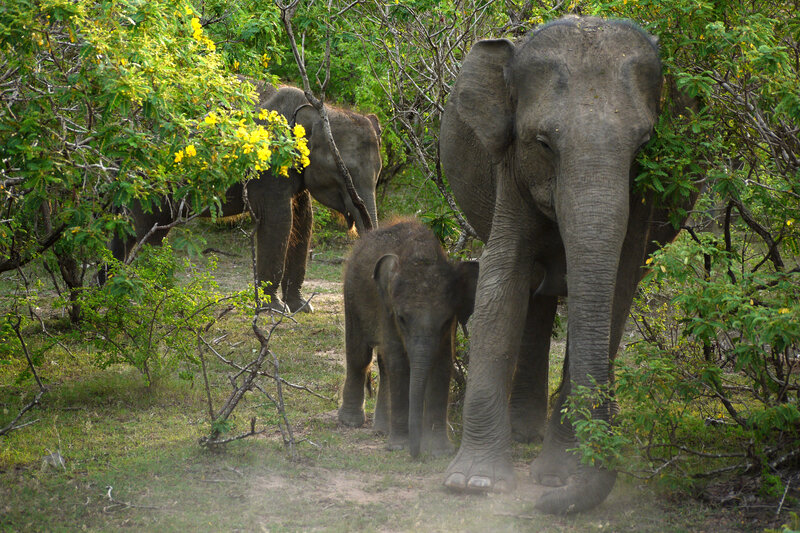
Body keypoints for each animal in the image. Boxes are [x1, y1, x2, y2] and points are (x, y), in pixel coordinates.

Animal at [110, 81, 382, 313]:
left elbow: (304, 221)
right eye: (343, 171)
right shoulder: (268, 166)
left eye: (378, 172)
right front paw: (275, 309)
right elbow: (279, 222)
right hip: (145, 183)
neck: (317, 109)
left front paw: (302, 308)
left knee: (138, 234)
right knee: (144, 232)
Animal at [338, 219, 479, 457]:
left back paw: (382, 430)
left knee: (383, 363)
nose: (416, 454)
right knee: (360, 355)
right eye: (402, 318)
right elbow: (399, 362)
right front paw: (399, 446)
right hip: (351, 293)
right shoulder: (386, 308)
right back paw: (350, 422)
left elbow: (443, 364)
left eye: (445, 321)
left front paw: (440, 451)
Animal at [439, 17, 697, 513]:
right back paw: (524, 433)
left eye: (645, 145)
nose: (542, 503)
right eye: (542, 142)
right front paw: (473, 483)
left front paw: (558, 477)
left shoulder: (644, 198)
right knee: (535, 297)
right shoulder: (509, 168)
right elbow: (502, 283)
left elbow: (615, 291)